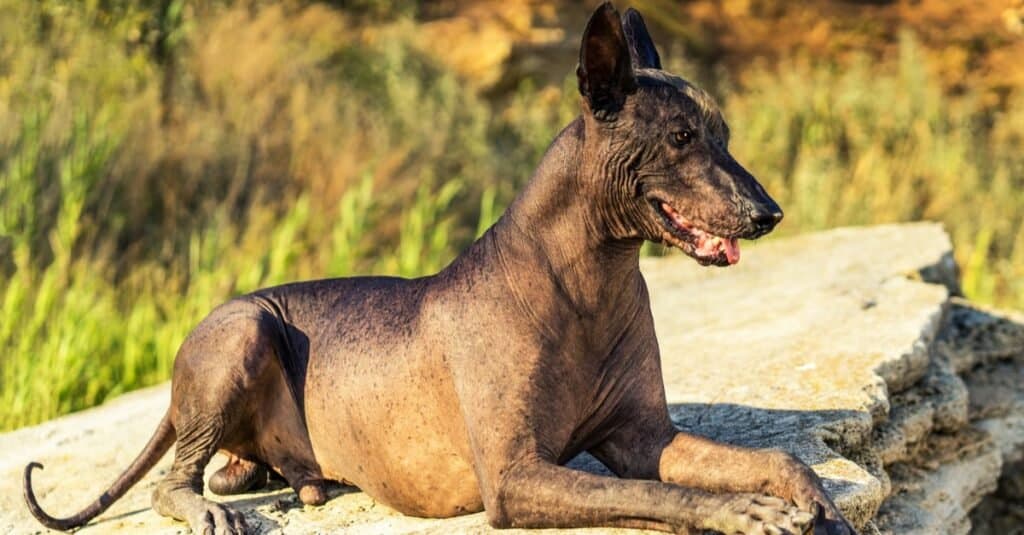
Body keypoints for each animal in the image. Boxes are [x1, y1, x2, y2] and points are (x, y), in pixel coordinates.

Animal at [25, 4, 856, 532]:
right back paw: (211, 507)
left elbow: (779, 457)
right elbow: (666, 501)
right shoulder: (515, 477)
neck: (585, 279)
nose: (769, 212)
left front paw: (816, 504)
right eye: (682, 138)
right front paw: (743, 512)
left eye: (724, 133)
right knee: (175, 478)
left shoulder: (643, 436)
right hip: (244, 328)